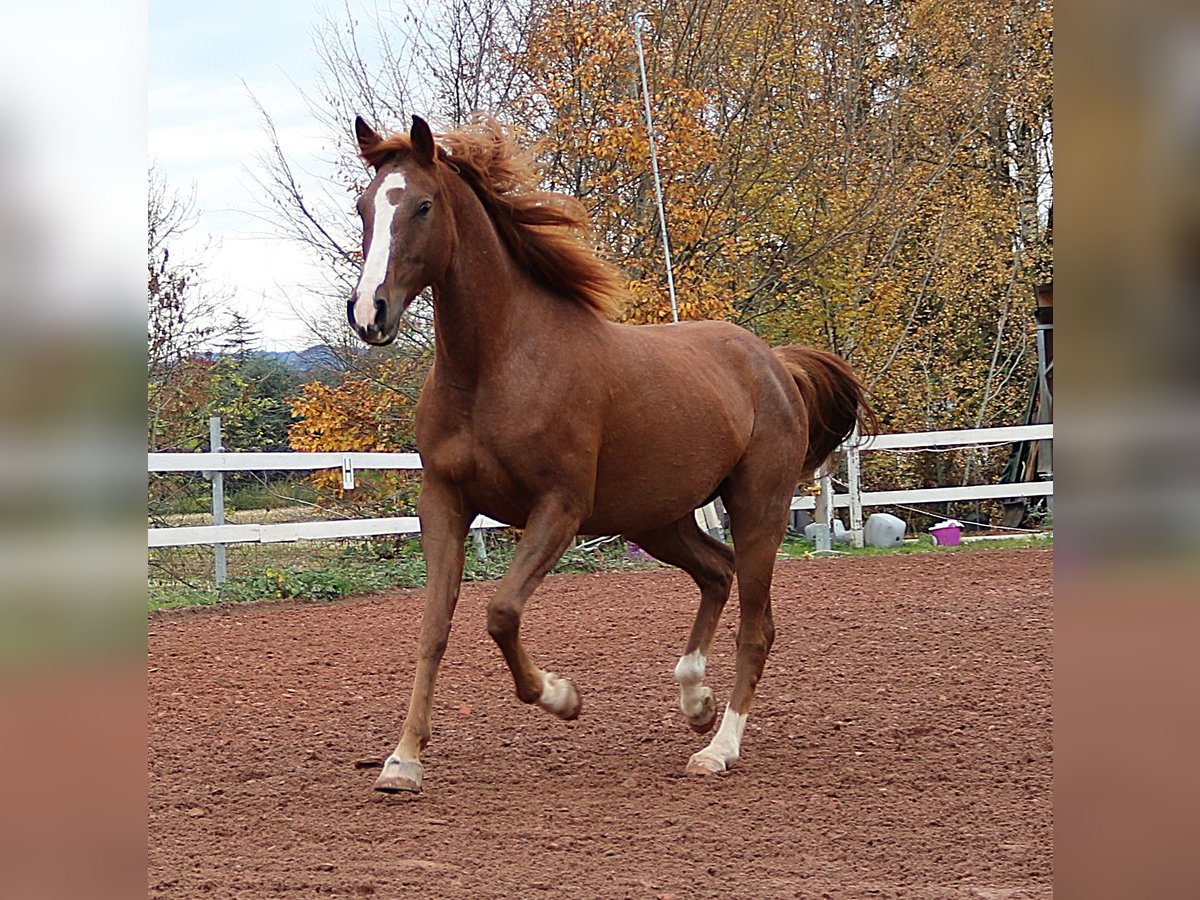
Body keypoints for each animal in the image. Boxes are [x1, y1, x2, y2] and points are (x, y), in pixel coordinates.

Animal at [347, 114, 875, 793]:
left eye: (422, 205)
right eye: (365, 207)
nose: (369, 313)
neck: (495, 366)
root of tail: (774, 363)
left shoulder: (560, 507)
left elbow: (501, 612)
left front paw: (561, 696)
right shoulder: (443, 502)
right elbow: (434, 628)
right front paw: (403, 759)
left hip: (759, 507)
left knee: (756, 627)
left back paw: (719, 747)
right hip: (655, 519)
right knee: (717, 571)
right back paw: (695, 701)